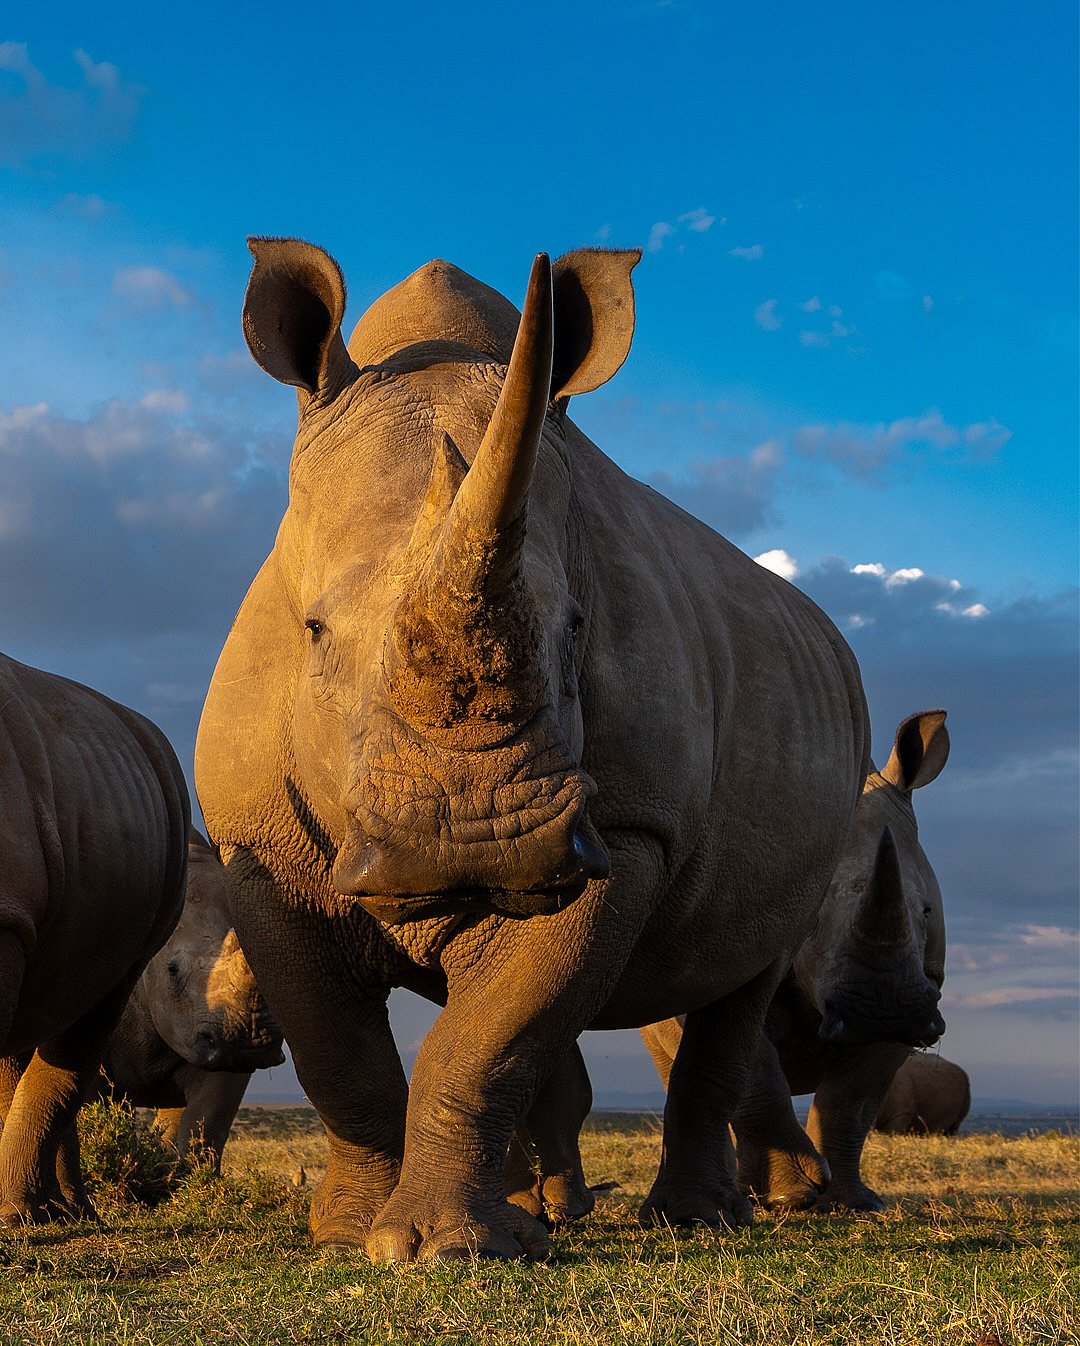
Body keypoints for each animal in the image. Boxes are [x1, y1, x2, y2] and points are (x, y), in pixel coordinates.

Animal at [195, 238, 869, 1261]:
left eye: (578, 629)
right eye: (312, 631)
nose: (470, 839)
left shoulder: (623, 829)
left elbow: (491, 1040)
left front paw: (442, 1252)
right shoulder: (256, 841)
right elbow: (340, 1054)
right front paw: (349, 1239)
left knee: (742, 976)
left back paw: (695, 1220)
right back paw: (549, 1212)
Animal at [642, 709, 951, 1211]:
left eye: (926, 910)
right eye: (810, 916)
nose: (884, 1012)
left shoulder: (922, 990)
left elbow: (851, 1102)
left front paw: (851, 1203)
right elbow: (757, 1074)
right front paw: (792, 1196)